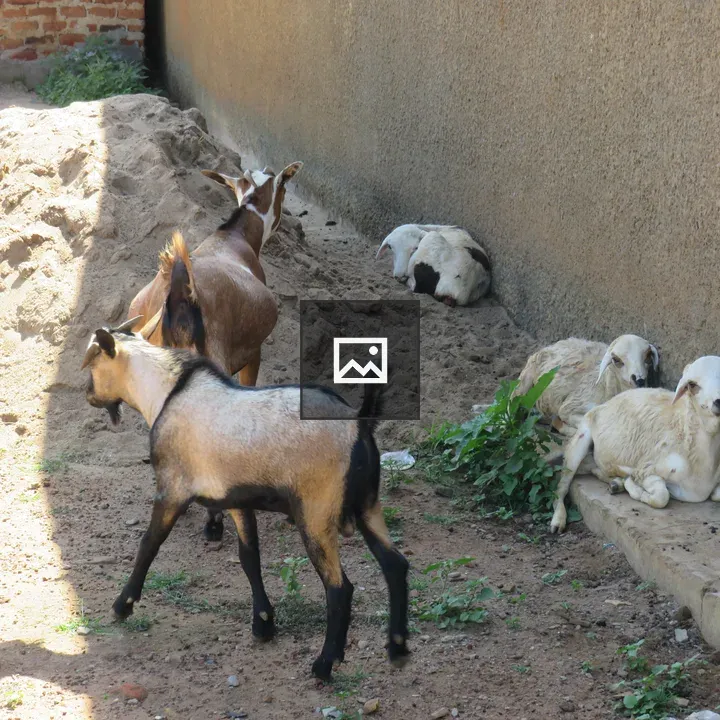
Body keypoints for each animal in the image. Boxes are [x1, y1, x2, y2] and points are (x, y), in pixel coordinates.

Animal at [80, 322, 410, 680]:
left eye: (94, 363)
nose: (88, 395)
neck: (167, 392)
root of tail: (358, 421)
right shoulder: (235, 499)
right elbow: (249, 556)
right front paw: (264, 623)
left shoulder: (172, 489)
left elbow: (149, 545)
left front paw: (122, 605)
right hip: (368, 505)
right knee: (395, 565)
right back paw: (398, 648)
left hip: (316, 513)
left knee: (340, 587)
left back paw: (324, 665)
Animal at [514, 334, 660, 438]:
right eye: (616, 360)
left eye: (648, 356)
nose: (639, 380)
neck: (606, 385)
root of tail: (552, 346)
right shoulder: (571, 407)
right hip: (522, 386)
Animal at [550, 355, 720, 533]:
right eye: (692, 385)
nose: (719, 402)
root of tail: (609, 401)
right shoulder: (646, 469)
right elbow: (661, 497)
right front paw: (635, 488)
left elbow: (717, 495)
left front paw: (625, 483)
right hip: (580, 439)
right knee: (561, 486)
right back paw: (558, 520)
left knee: (595, 468)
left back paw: (615, 483)